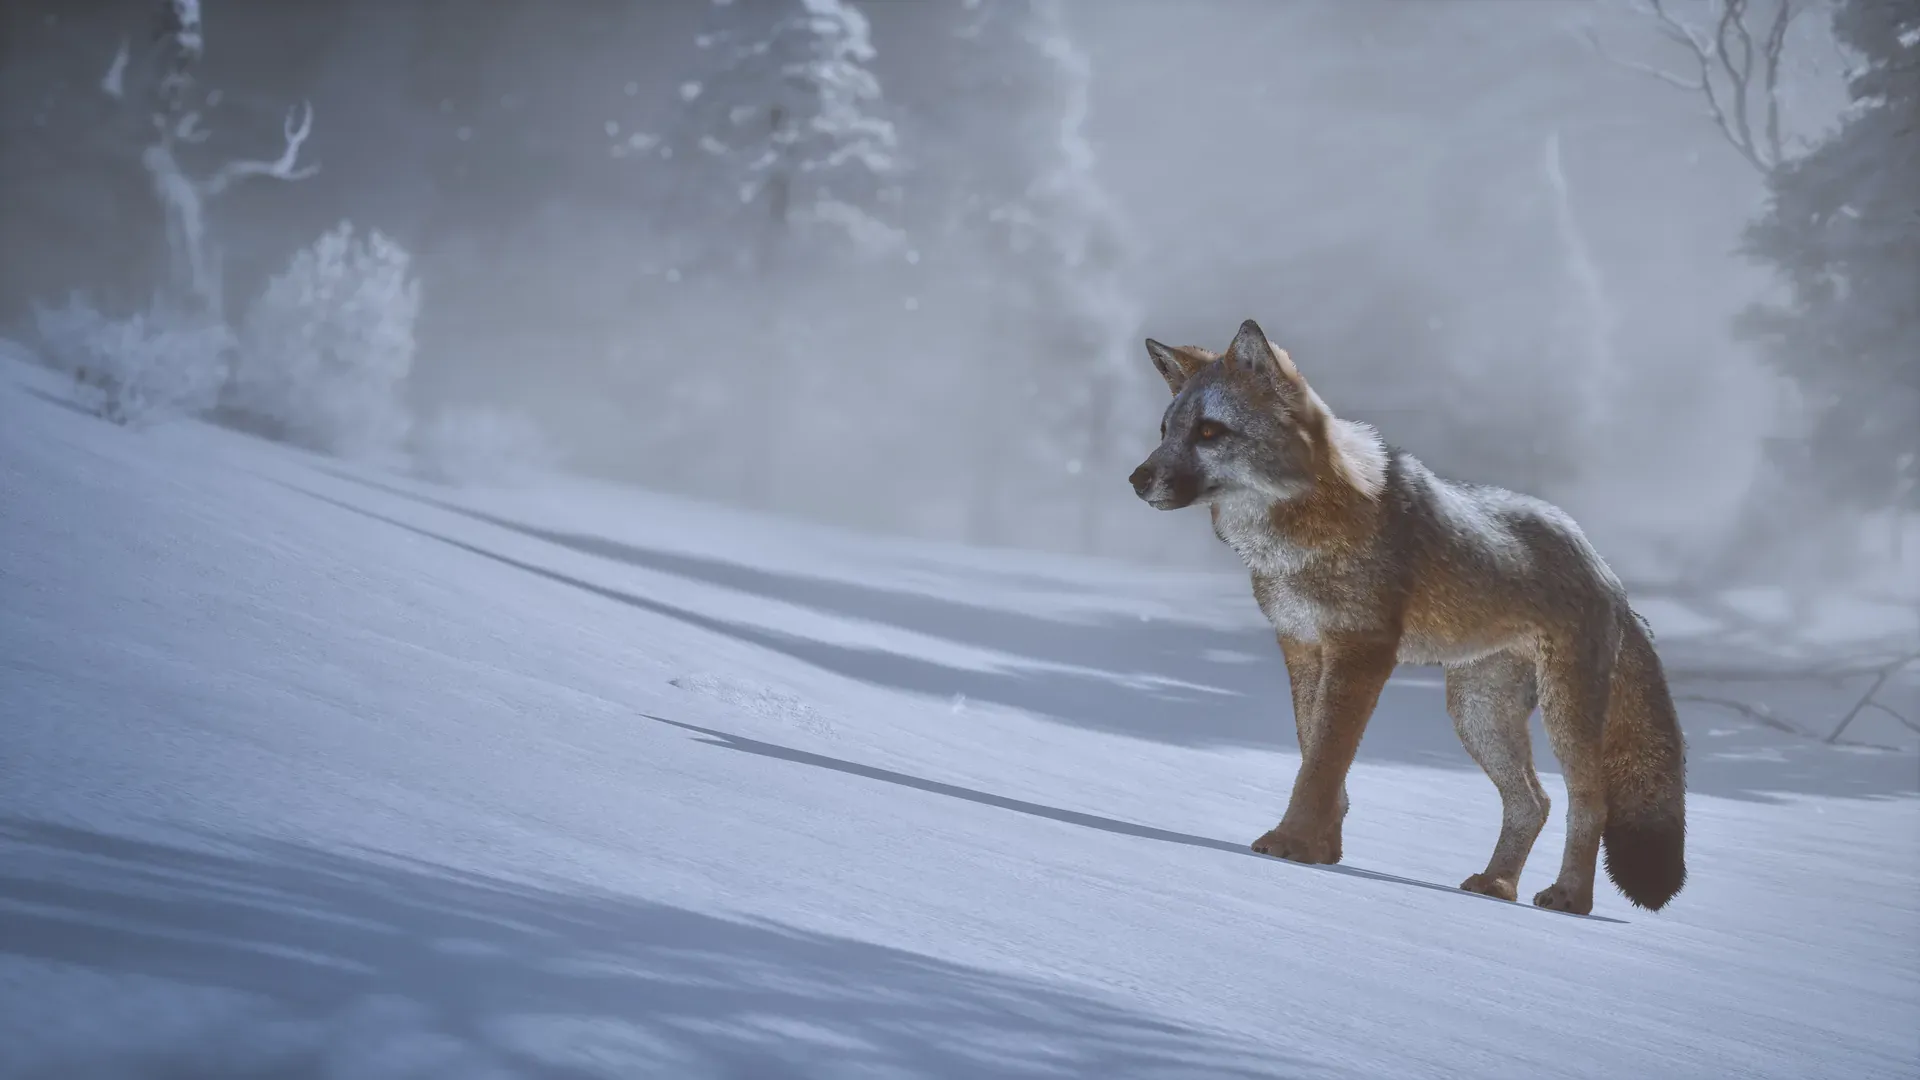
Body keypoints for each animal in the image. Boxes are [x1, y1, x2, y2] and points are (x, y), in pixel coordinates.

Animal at [1128, 319, 1687, 915]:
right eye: (1166, 430)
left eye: (1209, 432)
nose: (1137, 479)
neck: (1302, 534)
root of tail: (1609, 574)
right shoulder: (1301, 646)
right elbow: (1315, 757)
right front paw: (1321, 849)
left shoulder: (1362, 651)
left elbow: (1322, 763)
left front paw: (1292, 842)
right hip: (1477, 714)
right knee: (1534, 801)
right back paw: (1498, 885)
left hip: (1562, 715)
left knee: (1589, 802)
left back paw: (1569, 898)